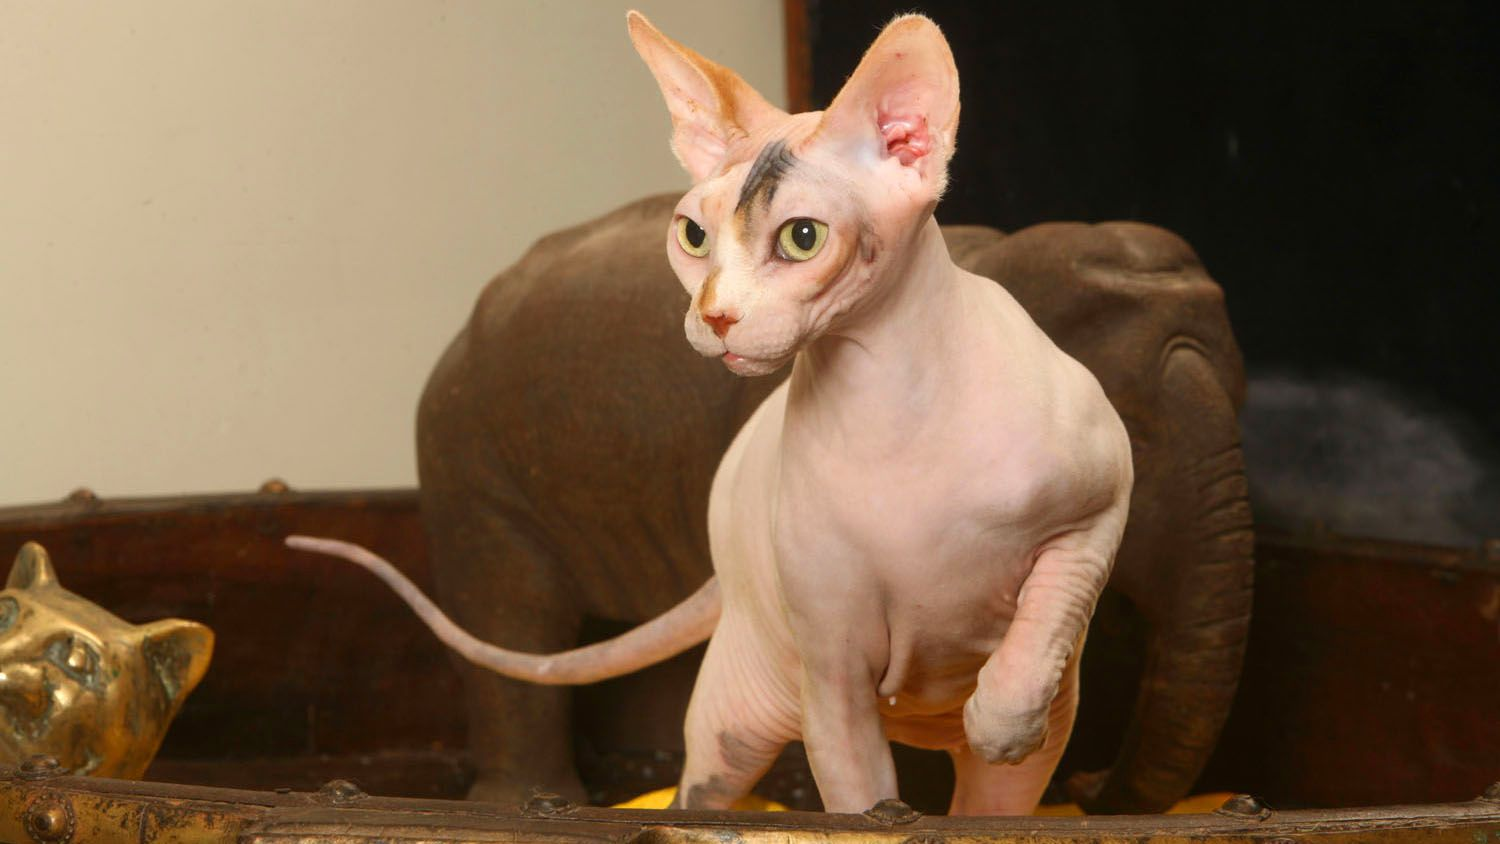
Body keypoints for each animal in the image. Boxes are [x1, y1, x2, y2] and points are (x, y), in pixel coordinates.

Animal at [289, 11, 1128, 821]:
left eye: (802, 238)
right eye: (693, 236)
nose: (715, 315)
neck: (890, 387)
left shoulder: (1103, 505)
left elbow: (1052, 608)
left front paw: (1003, 717)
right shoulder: (832, 665)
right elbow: (864, 800)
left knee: (992, 800)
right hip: (738, 714)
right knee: (698, 791)